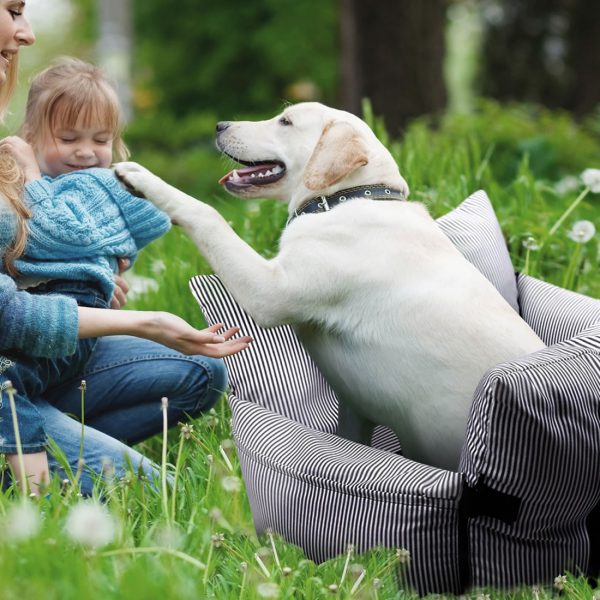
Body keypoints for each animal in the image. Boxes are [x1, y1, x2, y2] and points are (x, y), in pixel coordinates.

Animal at [115, 102, 548, 468]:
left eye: (285, 121)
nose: (220, 125)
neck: (349, 197)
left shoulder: (268, 290)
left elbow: (205, 213)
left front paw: (142, 178)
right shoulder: (355, 407)